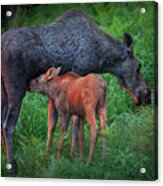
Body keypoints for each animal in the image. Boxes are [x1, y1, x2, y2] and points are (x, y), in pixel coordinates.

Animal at [1, 9, 151, 174]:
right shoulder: (79, 72)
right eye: (139, 66)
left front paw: (49, 155)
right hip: (16, 88)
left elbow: (52, 123)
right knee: (8, 125)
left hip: (3, 91)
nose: (147, 95)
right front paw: (74, 155)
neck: (100, 58)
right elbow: (75, 124)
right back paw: (12, 166)